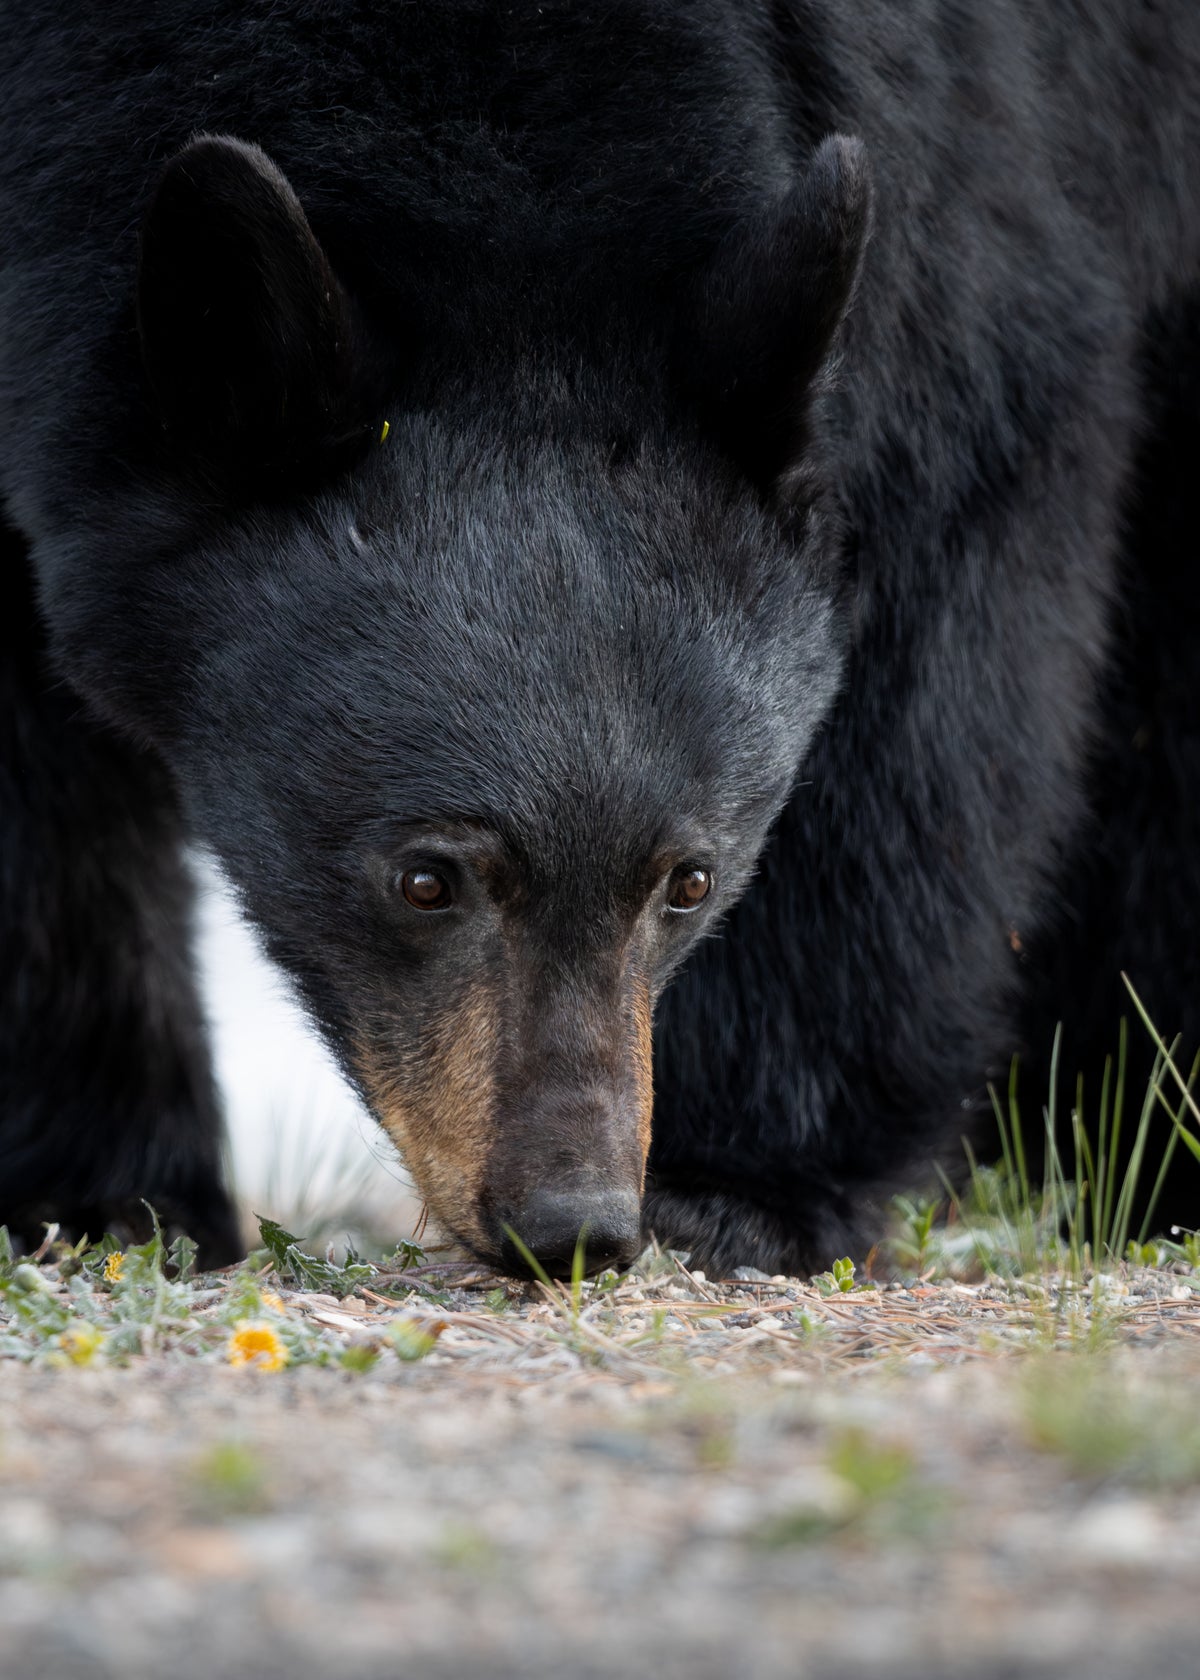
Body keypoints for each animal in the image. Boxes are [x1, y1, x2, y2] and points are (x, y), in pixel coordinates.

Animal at [1, 1, 1198, 1277]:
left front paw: (741, 1186)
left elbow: (933, 642)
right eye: (424, 878)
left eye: (691, 880)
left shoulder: (975, 155)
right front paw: (96, 1193)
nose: (571, 1222)